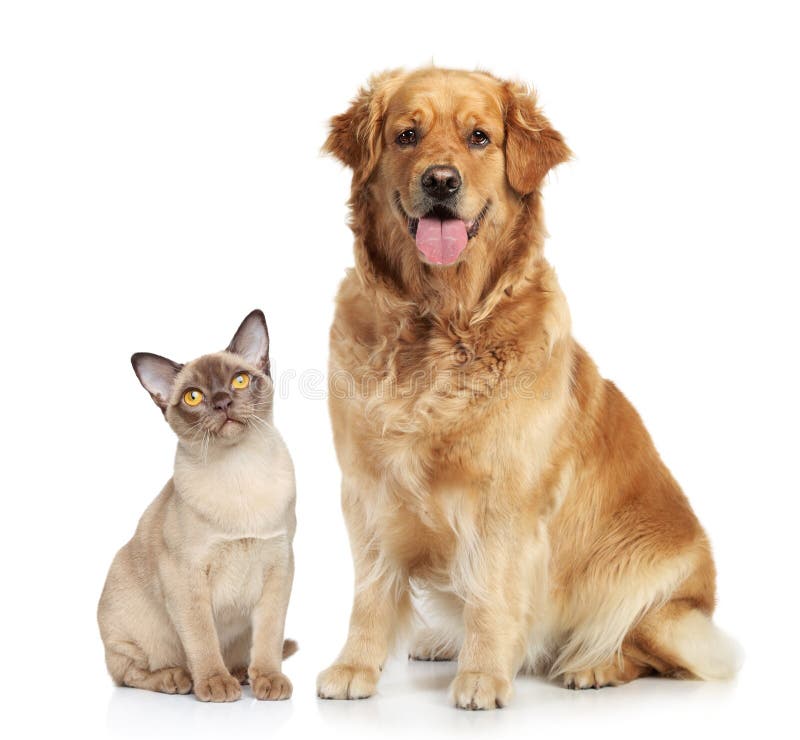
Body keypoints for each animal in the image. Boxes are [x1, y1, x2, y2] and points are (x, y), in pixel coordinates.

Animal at [97, 310, 296, 704]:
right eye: (193, 397)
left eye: (239, 381)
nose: (221, 403)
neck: (239, 470)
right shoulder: (185, 576)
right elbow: (202, 638)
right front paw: (215, 684)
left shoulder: (279, 566)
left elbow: (269, 636)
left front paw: (269, 679)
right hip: (130, 627)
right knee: (129, 673)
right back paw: (180, 678)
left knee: (247, 651)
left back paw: (244, 673)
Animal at [316, 66, 740, 708]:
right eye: (407, 135)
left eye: (480, 137)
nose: (441, 181)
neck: (438, 325)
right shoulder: (365, 488)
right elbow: (371, 591)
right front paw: (355, 666)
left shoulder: (506, 499)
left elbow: (492, 594)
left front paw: (484, 677)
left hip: (664, 611)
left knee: (637, 647)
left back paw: (591, 666)